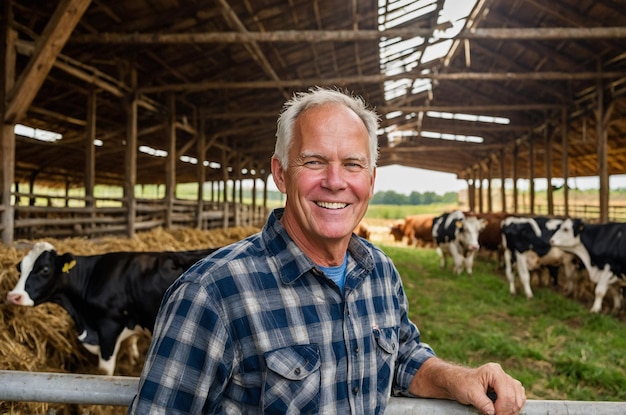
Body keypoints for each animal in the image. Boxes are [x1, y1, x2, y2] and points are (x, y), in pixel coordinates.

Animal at [6, 240, 217, 376]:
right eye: (20, 268)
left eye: (44, 269)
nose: (13, 296)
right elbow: (132, 342)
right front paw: (133, 360)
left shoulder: (109, 325)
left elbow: (105, 370)